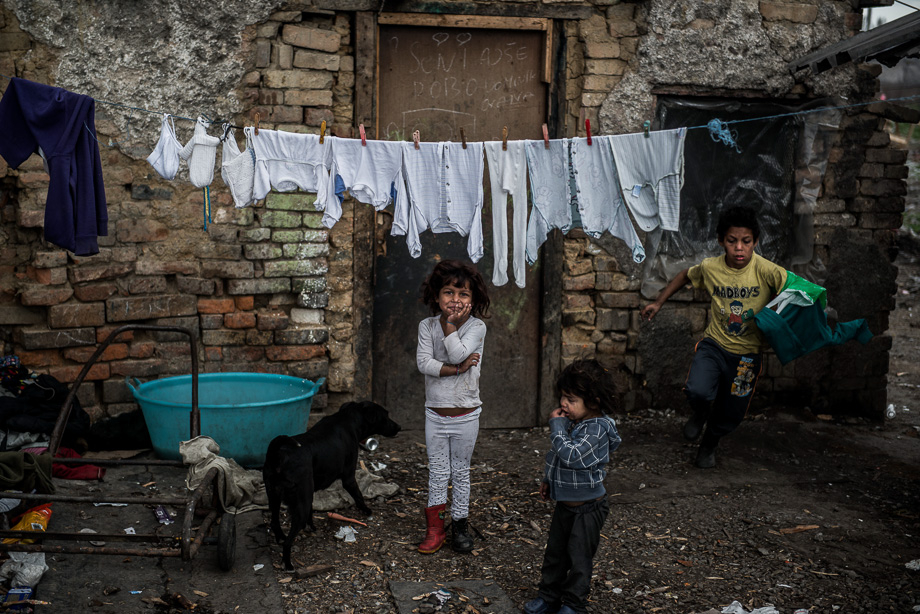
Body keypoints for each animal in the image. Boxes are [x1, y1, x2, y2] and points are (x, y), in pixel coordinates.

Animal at [262, 402, 398, 572]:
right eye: (385, 415)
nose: (399, 427)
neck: (348, 419)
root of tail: (278, 454)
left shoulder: (309, 493)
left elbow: (311, 512)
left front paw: (312, 527)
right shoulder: (348, 478)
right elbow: (359, 496)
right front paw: (367, 510)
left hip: (275, 496)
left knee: (275, 522)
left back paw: (280, 537)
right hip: (299, 505)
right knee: (288, 542)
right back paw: (288, 564)